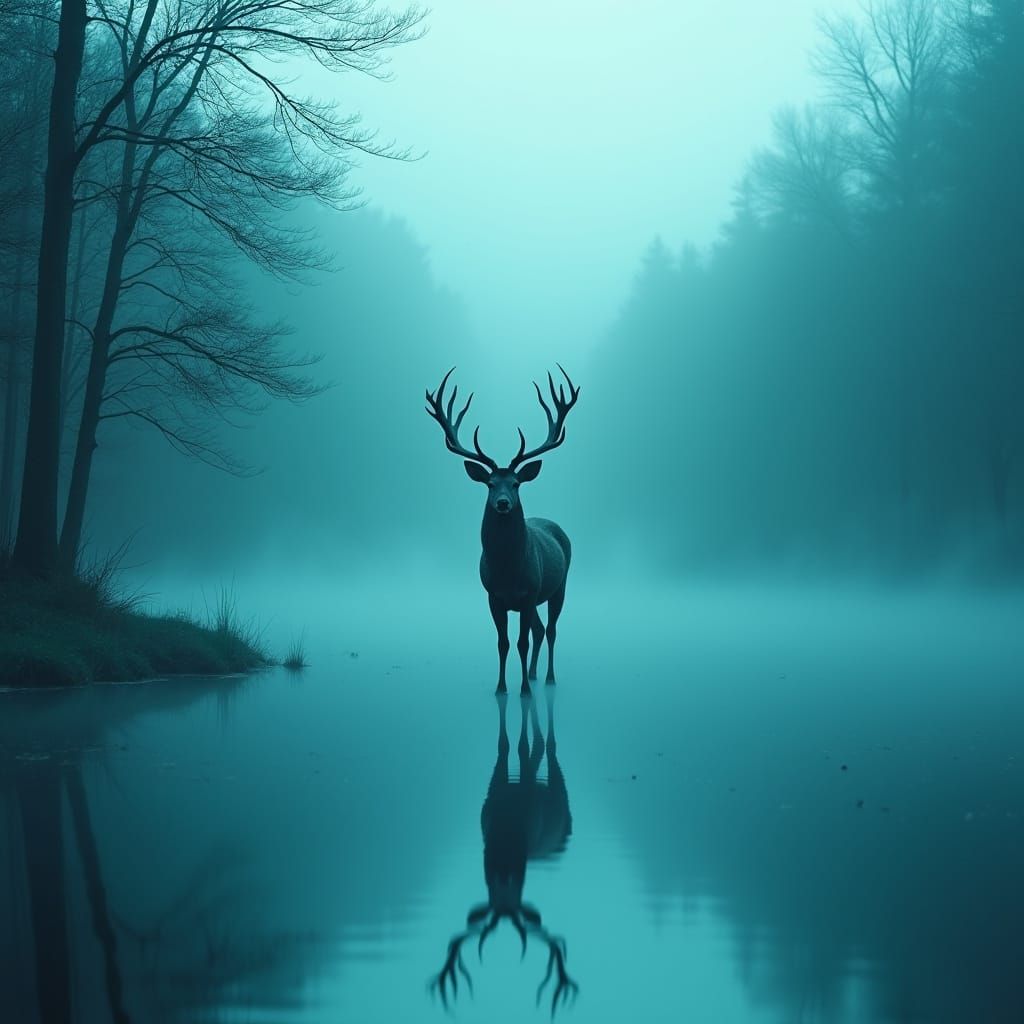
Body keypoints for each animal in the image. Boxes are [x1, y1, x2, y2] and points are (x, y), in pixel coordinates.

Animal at [425, 365, 580, 695]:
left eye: (516, 483)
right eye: (490, 483)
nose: (503, 503)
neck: (508, 571)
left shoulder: (529, 592)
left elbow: (521, 642)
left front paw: (523, 691)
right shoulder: (493, 596)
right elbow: (503, 643)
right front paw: (501, 688)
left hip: (559, 586)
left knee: (550, 630)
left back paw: (547, 678)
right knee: (539, 629)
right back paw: (533, 674)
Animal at [429, 691, 577, 1015]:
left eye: (520, 885)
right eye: (492, 889)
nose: (504, 876)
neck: (506, 835)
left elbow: (520, 749)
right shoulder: (493, 794)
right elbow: (504, 748)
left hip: (559, 792)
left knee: (548, 751)